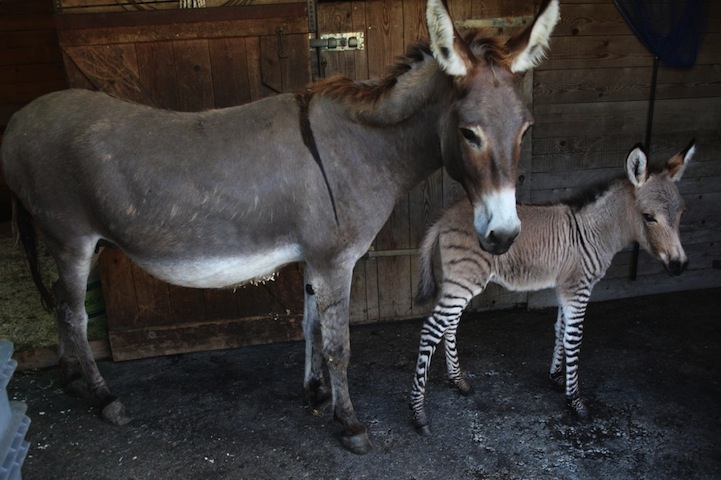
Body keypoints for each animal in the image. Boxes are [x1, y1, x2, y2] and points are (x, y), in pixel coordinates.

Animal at [1, 0, 560, 453]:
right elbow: (339, 345)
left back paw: (72, 379)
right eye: (469, 134)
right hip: (71, 238)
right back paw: (103, 397)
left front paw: (316, 392)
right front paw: (349, 424)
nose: (504, 235)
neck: (361, 149)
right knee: (74, 313)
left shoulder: (314, 258)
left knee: (60, 301)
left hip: (74, 242)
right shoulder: (336, 260)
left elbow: (310, 324)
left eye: (526, 130)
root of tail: (17, 122)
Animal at [409, 141, 694, 435]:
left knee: (449, 325)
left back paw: (458, 382)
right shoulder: (578, 288)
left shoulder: (565, 287)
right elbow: (574, 338)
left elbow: (560, 329)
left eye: (682, 213)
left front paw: (557, 377)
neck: (594, 232)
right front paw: (576, 401)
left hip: (459, 280)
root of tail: (444, 217)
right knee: (431, 329)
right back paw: (419, 414)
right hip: (465, 278)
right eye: (649, 217)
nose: (679, 266)